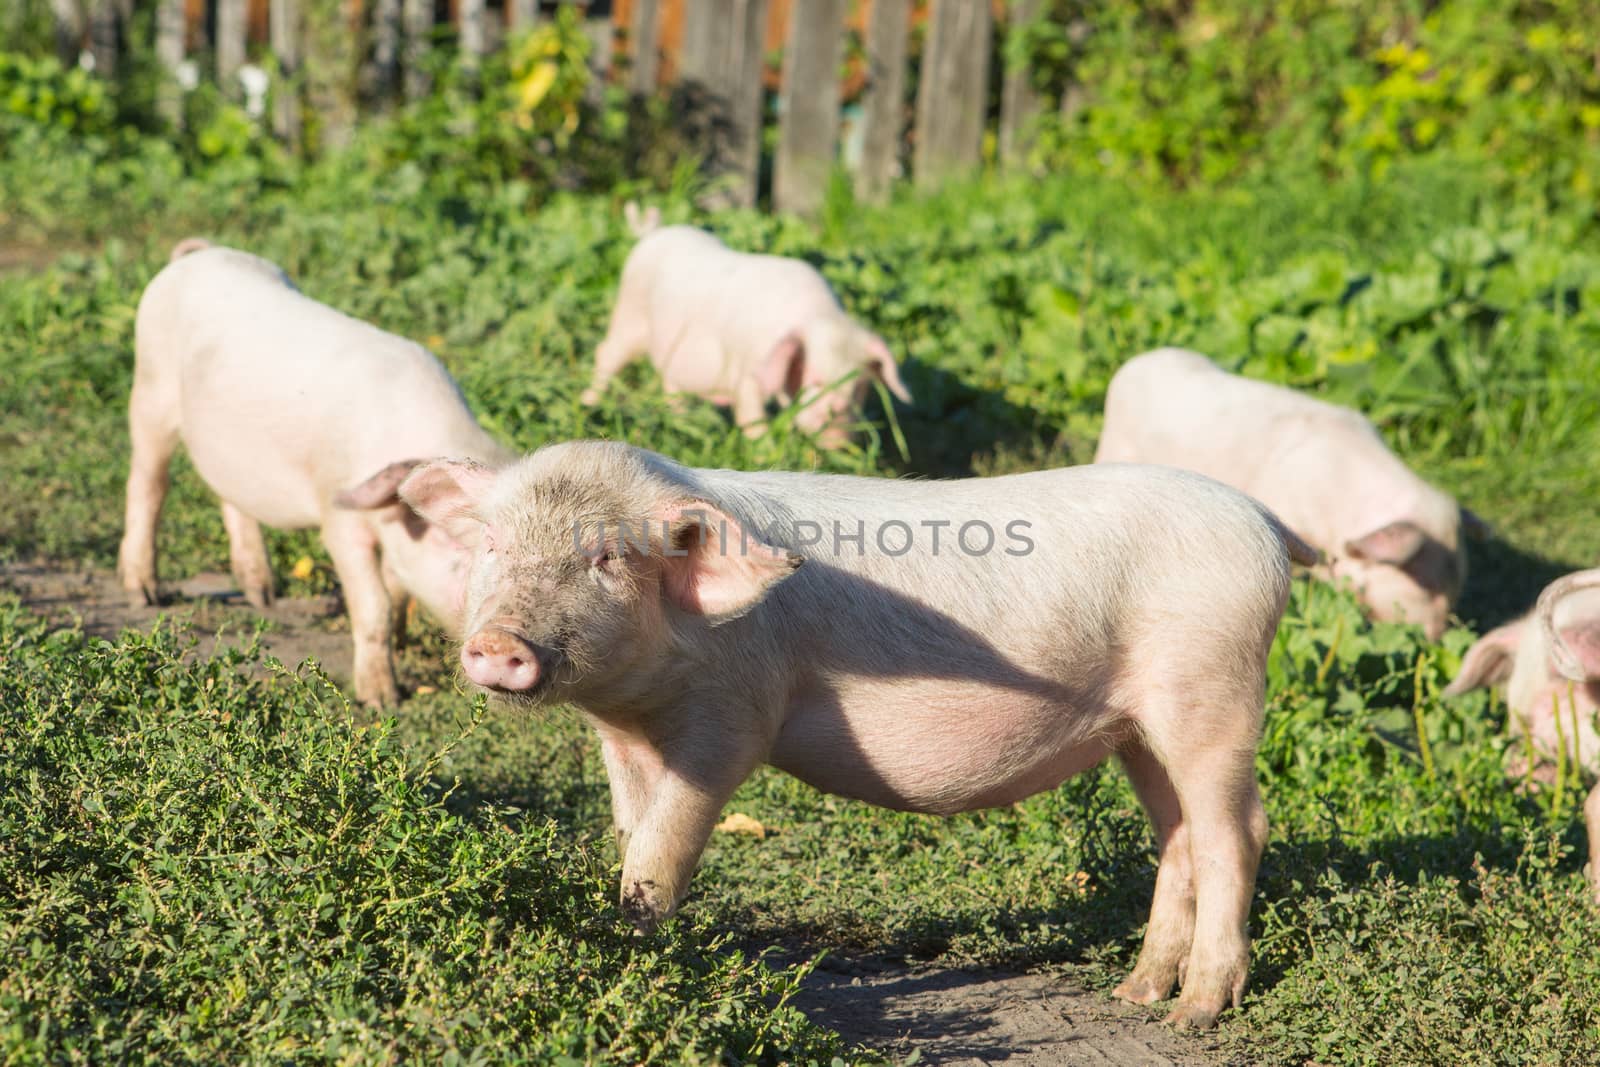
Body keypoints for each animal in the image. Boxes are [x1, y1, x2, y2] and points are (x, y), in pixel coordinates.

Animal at [116, 243, 512, 710]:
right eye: (461, 544)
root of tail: (197, 252)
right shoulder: (338, 515)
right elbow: (374, 604)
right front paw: (382, 700)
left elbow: (396, 592)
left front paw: (398, 649)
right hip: (149, 390)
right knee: (148, 484)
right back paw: (144, 592)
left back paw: (263, 595)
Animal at [396, 441, 1312, 1023]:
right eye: (491, 540)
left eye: (608, 559)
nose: (500, 642)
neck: (647, 694)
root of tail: (1264, 523)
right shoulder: (622, 739)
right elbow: (632, 830)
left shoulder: (735, 715)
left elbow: (667, 845)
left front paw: (639, 950)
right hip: (1138, 725)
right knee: (1179, 833)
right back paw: (1135, 993)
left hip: (1213, 685)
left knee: (1239, 827)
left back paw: (1196, 1012)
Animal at [579, 202, 915, 447]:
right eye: (814, 379)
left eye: (859, 387)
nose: (838, 434)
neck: (818, 317)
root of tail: (653, 233)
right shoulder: (748, 370)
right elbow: (751, 417)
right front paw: (766, 454)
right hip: (630, 315)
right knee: (606, 354)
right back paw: (587, 403)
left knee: (670, 385)